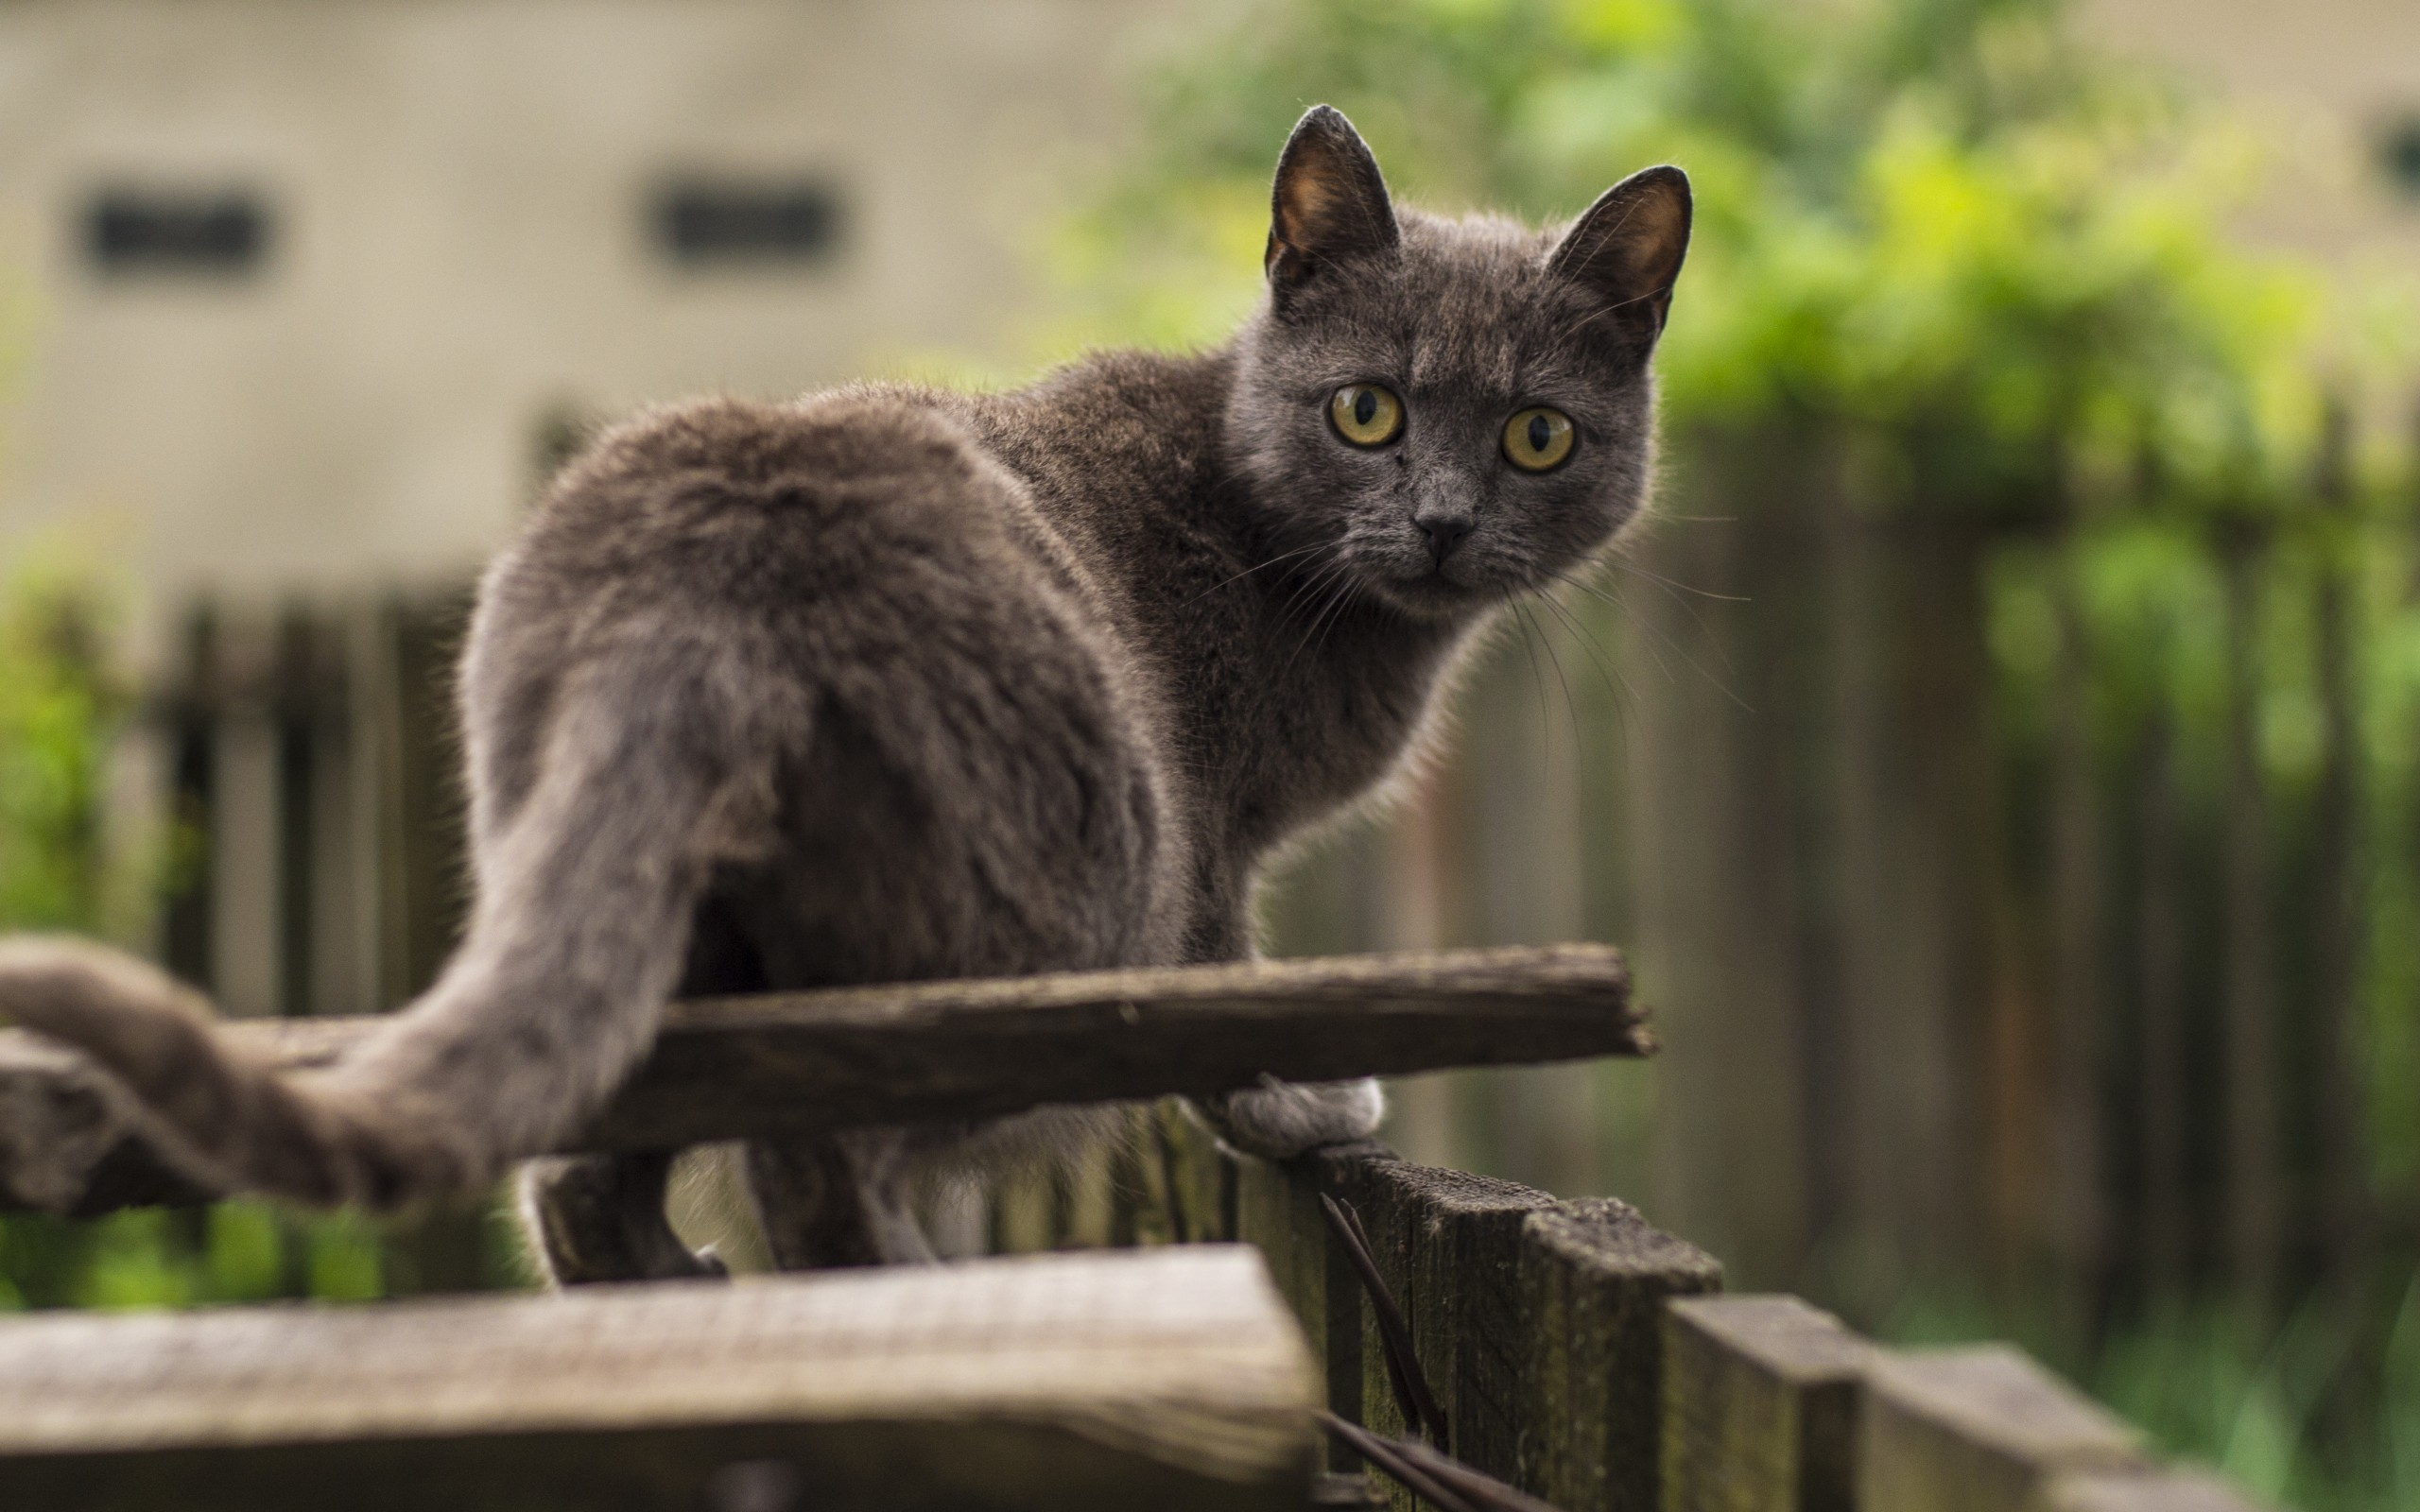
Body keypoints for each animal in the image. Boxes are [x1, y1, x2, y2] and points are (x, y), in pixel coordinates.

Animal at [0, 106, 1684, 1277]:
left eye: (1538, 436)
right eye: (1367, 411)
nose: (1444, 521)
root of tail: (706, 592)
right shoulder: (1210, 835)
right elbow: (1226, 985)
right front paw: (1309, 1103)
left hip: (635, 886)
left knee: (594, 1151)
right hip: (1042, 889)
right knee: (829, 1154)